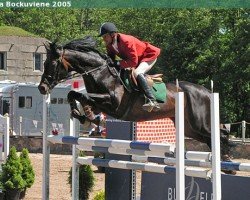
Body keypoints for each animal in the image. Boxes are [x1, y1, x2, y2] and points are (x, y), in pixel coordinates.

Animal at [38, 36, 233, 171]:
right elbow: (75, 95)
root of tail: (207, 92)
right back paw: (225, 163)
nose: (42, 88)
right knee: (211, 138)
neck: (101, 73)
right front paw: (83, 116)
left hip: (199, 123)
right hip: (189, 127)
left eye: (52, 63)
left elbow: (82, 96)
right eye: (43, 62)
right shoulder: (99, 102)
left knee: (220, 134)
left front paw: (85, 116)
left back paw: (227, 161)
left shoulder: (113, 103)